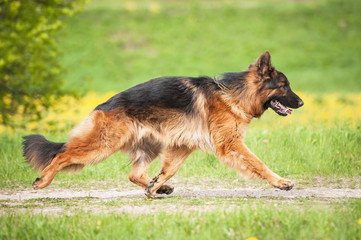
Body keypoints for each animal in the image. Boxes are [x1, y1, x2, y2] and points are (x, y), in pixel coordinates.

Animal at [22, 51, 302, 198]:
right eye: (285, 86)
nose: (300, 102)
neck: (235, 94)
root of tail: (102, 105)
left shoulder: (183, 145)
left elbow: (169, 169)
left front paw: (156, 185)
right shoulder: (230, 144)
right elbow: (258, 163)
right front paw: (281, 182)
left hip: (150, 145)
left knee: (134, 174)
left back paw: (158, 187)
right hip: (101, 146)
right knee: (61, 155)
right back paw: (43, 181)